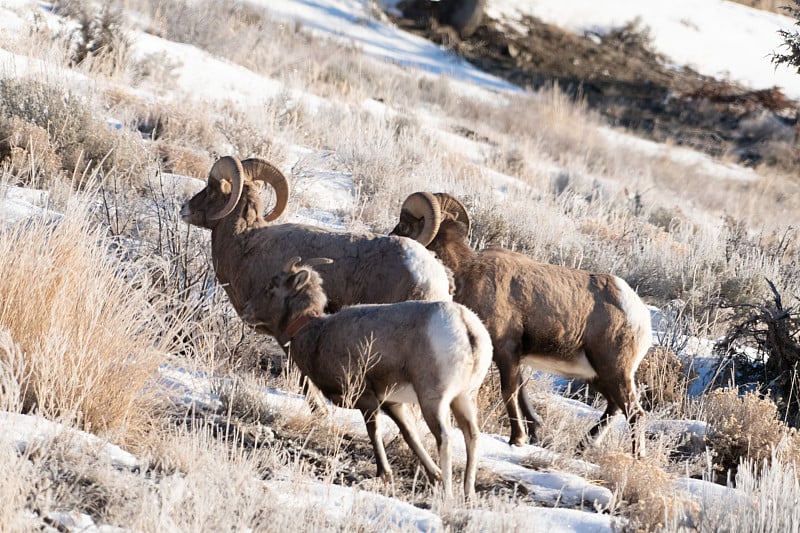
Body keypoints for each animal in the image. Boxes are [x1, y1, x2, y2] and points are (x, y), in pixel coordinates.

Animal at [242, 256, 494, 496]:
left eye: (271, 286)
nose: (246, 311)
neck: (316, 334)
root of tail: (467, 328)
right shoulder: (392, 403)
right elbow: (410, 435)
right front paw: (435, 475)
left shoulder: (366, 399)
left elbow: (374, 432)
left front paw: (384, 474)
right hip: (464, 398)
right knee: (472, 436)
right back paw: (468, 494)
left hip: (434, 399)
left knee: (445, 438)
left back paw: (448, 494)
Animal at [390, 191, 652, 454]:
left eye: (404, 223)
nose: (392, 238)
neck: (467, 272)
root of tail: (640, 315)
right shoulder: (515, 357)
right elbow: (521, 391)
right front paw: (533, 431)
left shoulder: (506, 351)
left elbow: (509, 391)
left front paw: (517, 438)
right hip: (598, 376)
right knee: (614, 408)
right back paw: (581, 448)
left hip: (614, 371)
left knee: (634, 412)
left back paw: (635, 457)